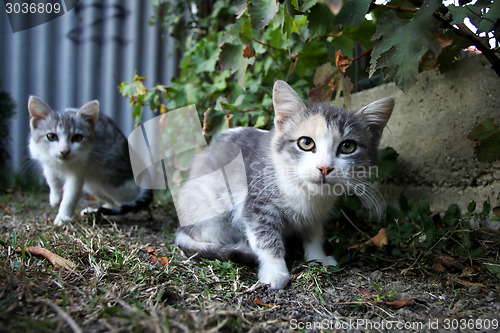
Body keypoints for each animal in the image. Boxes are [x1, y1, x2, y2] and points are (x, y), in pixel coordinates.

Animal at [27, 96, 151, 226]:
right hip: (93, 185)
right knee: (112, 200)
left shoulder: (80, 169)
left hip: (113, 179)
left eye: (78, 137)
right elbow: (50, 176)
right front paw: (55, 196)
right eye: (51, 136)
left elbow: (71, 194)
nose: (65, 151)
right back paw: (99, 210)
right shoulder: (43, 157)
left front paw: (63, 217)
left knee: (129, 197)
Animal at [176, 80, 394, 288]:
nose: (324, 167)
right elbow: (266, 238)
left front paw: (317, 257)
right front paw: (276, 271)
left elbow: (313, 234)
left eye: (347, 146)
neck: (305, 192)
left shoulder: (316, 215)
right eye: (306, 143)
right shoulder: (256, 203)